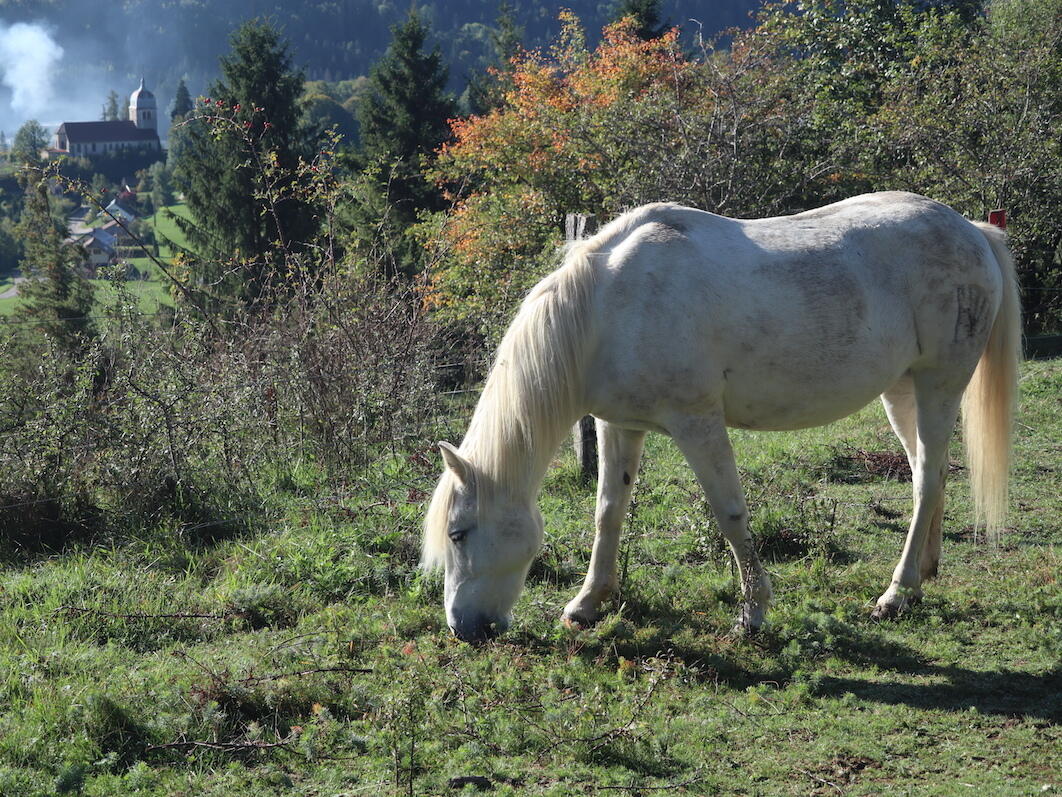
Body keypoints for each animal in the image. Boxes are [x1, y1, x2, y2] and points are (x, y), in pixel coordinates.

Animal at [423, 192, 1020, 642]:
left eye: (458, 533)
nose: (463, 629)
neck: (607, 310)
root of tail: (971, 230)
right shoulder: (620, 424)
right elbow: (608, 511)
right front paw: (588, 604)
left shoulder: (697, 422)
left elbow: (729, 512)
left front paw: (753, 613)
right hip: (901, 390)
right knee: (929, 472)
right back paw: (924, 573)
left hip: (940, 383)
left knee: (926, 480)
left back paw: (896, 593)